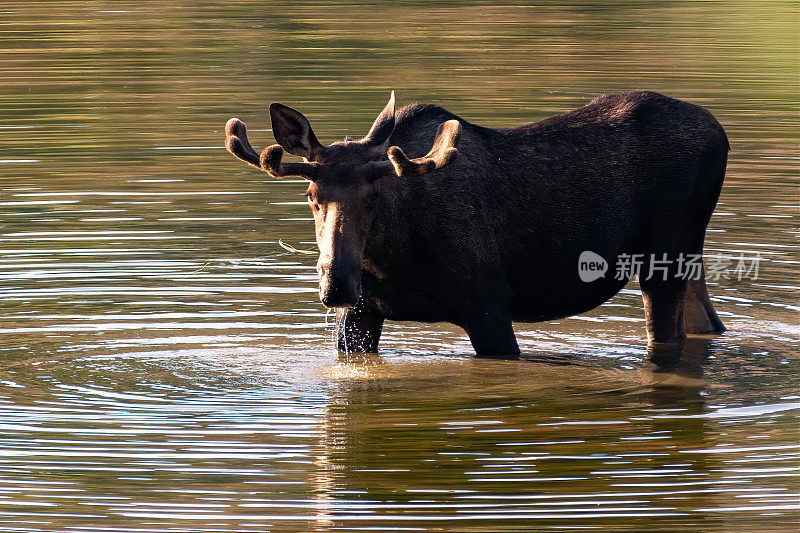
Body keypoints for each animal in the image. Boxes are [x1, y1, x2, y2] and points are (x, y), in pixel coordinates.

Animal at [222, 90, 728, 358]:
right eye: (312, 197)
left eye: (374, 197)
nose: (337, 284)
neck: (390, 258)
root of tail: (721, 133)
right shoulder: (361, 314)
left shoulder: (489, 305)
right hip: (689, 255)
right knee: (707, 321)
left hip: (667, 254)